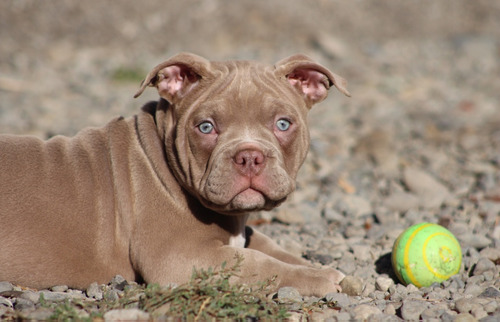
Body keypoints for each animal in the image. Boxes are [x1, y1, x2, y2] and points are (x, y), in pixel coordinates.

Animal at [0, 52, 352, 296]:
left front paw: (319, 267)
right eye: (206, 127)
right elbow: (256, 263)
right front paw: (319, 277)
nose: (249, 156)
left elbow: (271, 249)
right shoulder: (181, 257)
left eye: (282, 124)